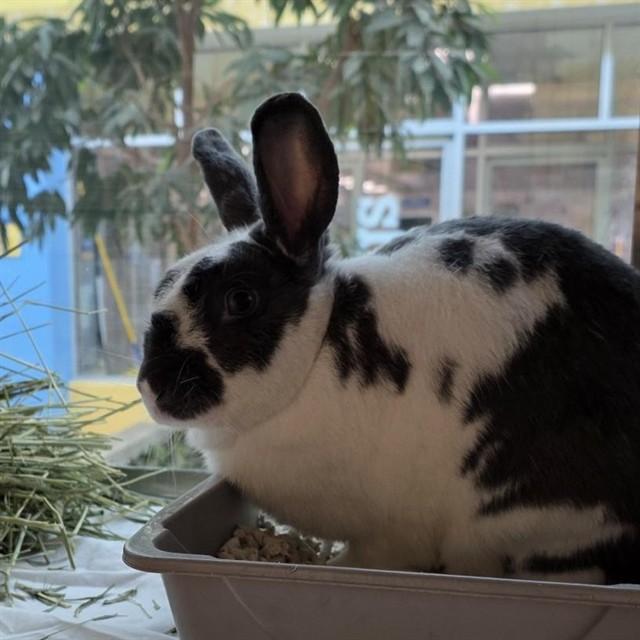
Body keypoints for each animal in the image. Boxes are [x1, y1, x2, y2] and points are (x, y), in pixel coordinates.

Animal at [137, 92, 640, 585]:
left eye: (240, 299)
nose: (149, 387)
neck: (317, 352)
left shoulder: (392, 534)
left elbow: (374, 555)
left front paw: (337, 570)